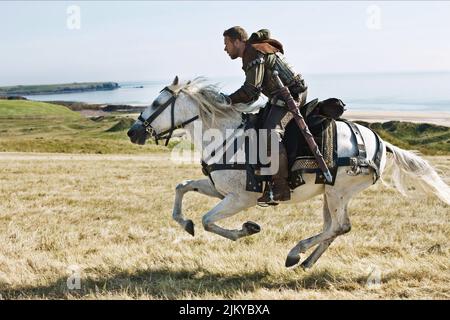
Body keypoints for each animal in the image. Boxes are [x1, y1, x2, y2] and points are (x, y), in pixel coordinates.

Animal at [126, 77, 450, 270]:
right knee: (336, 228)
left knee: (339, 227)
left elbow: (208, 221)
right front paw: (185, 223)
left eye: (157, 103)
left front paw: (247, 229)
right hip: (330, 193)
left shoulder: (240, 198)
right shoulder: (219, 190)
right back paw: (306, 262)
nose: (133, 132)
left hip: (338, 191)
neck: (226, 135)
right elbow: (182, 187)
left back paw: (296, 253)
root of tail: (379, 142)